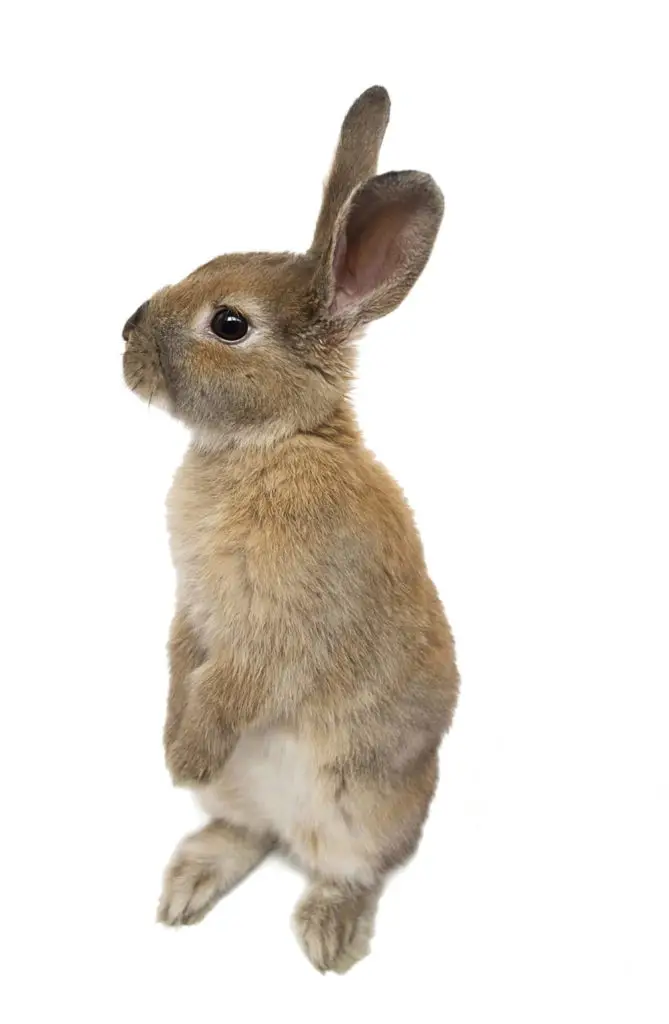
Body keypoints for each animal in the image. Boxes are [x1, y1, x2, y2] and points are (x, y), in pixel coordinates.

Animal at [122, 83, 458, 970]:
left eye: (229, 325)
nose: (124, 336)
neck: (271, 443)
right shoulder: (193, 606)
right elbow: (182, 662)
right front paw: (171, 749)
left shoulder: (280, 624)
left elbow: (233, 683)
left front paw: (184, 752)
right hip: (247, 796)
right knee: (250, 833)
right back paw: (187, 885)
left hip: (358, 806)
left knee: (349, 867)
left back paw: (327, 933)